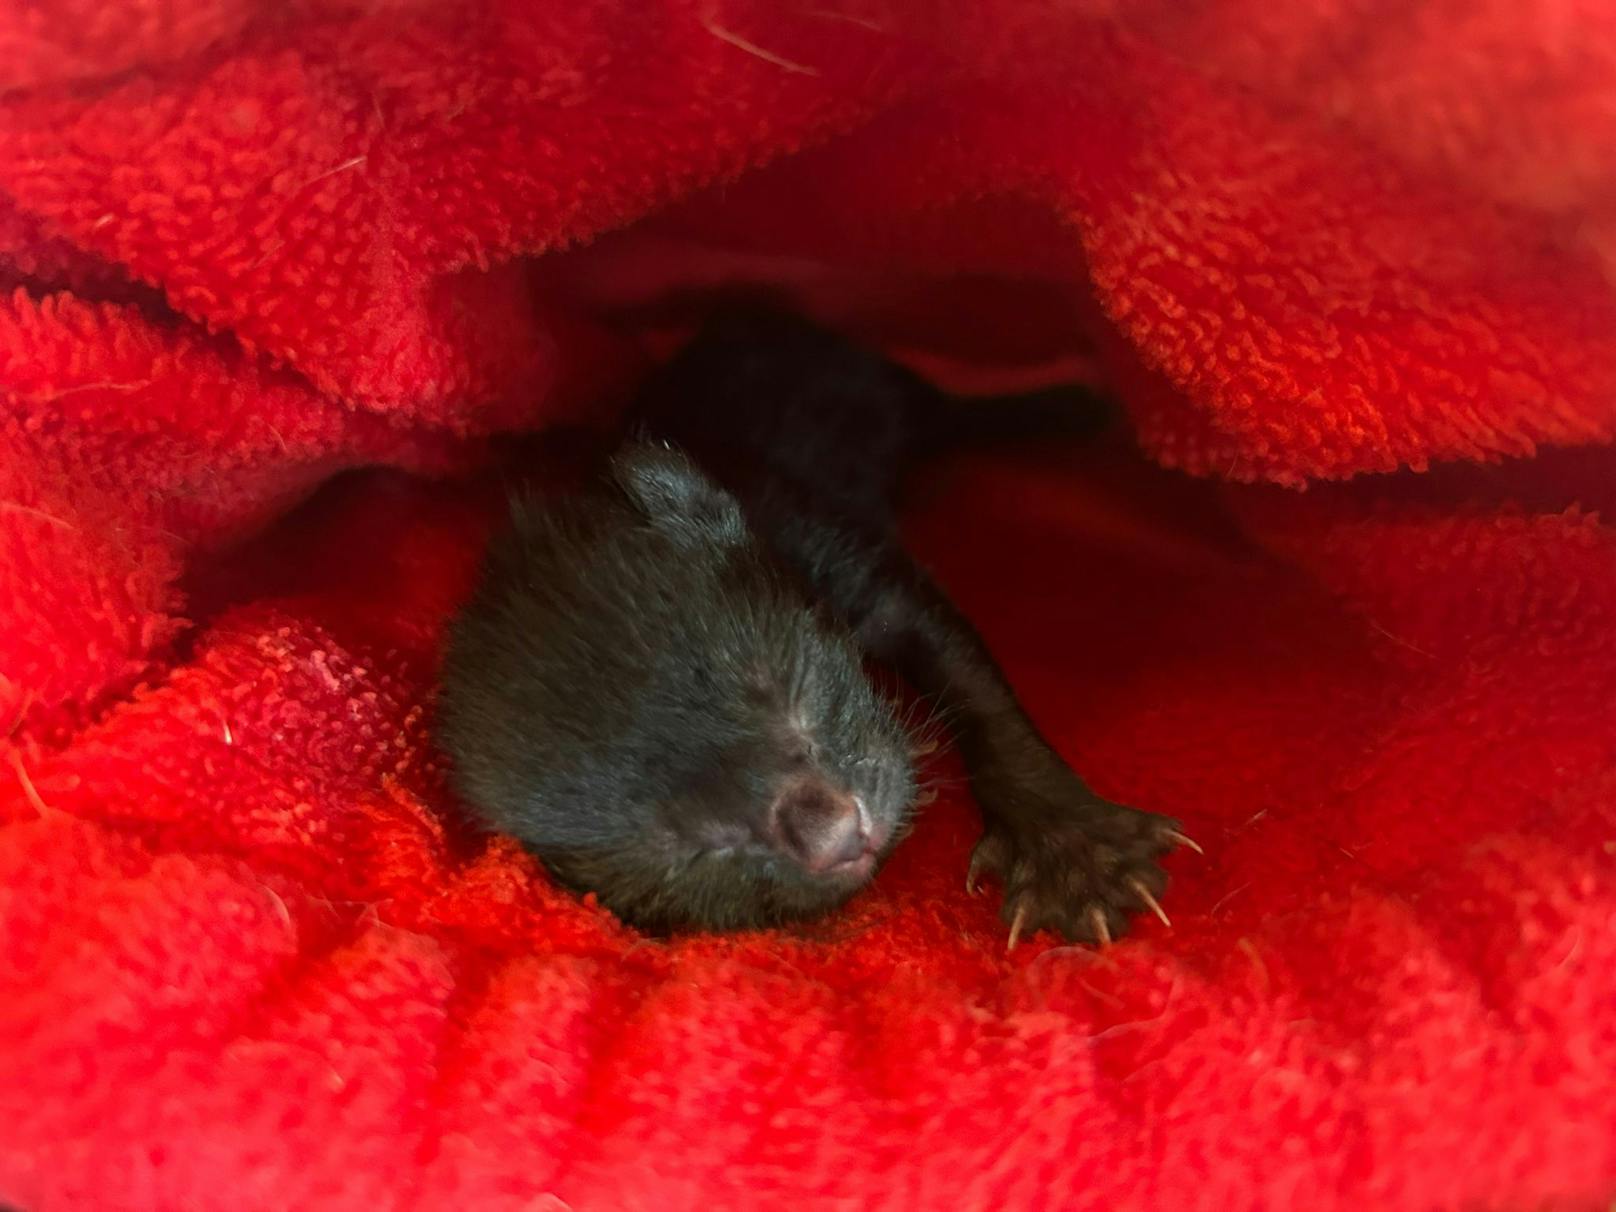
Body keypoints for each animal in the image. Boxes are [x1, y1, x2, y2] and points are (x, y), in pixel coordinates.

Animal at [436, 308, 1195, 943]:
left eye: (791, 687)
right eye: (693, 849)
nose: (838, 836)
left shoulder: (826, 540)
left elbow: (968, 677)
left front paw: (1073, 847)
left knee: (941, 407)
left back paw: (1066, 403)